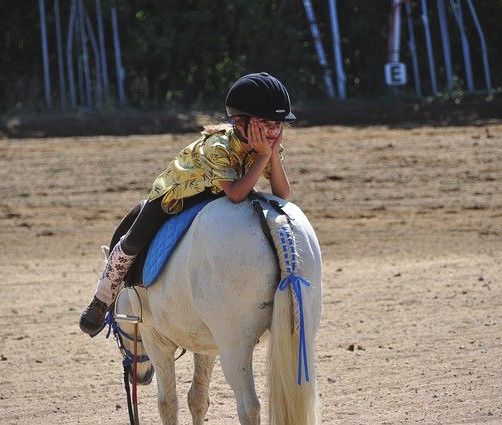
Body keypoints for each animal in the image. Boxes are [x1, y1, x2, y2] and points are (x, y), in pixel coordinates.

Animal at [116, 193, 324, 424]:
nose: (140, 377)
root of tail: (273, 219)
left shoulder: (155, 340)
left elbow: (167, 403)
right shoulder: (205, 344)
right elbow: (197, 399)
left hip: (235, 348)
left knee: (249, 406)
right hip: (300, 336)